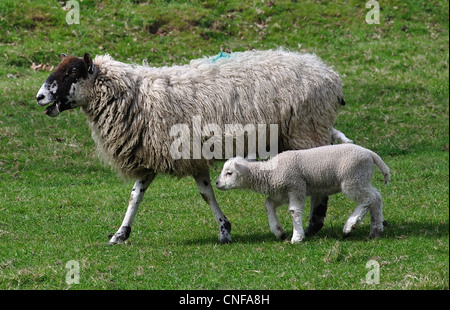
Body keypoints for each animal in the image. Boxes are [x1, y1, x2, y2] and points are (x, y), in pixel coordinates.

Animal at [35, 49, 352, 245]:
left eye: (72, 72)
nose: (39, 96)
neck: (134, 95)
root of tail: (329, 74)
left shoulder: (180, 150)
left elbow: (201, 193)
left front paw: (224, 231)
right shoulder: (160, 155)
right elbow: (139, 196)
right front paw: (120, 234)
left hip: (306, 129)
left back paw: (313, 225)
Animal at [215, 144, 390, 243]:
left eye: (229, 173)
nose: (217, 183)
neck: (271, 173)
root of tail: (370, 153)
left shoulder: (296, 186)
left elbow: (294, 211)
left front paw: (297, 237)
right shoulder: (282, 192)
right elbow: (268, 204)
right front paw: (278, 231)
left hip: (352, 178)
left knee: (369, 197)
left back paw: (350, 225)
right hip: (361, 178)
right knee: (376, 198)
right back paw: (376, 230)